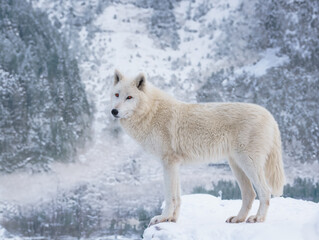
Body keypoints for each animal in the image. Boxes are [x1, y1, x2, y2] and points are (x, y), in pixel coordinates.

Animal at [111, 69, 286, 225]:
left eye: (129, 97)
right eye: (117, 95)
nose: (114, 111)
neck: (152, 111)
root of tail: (270, 116)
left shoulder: (168, 163)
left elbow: (170, 196)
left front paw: (163, 218)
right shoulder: (174, 165)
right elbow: (177, 196)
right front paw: (172, 219)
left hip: (248, 163)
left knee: (265, 191)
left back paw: (258, 218)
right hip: (236, 166)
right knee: (250, 194)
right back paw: (238, 219)